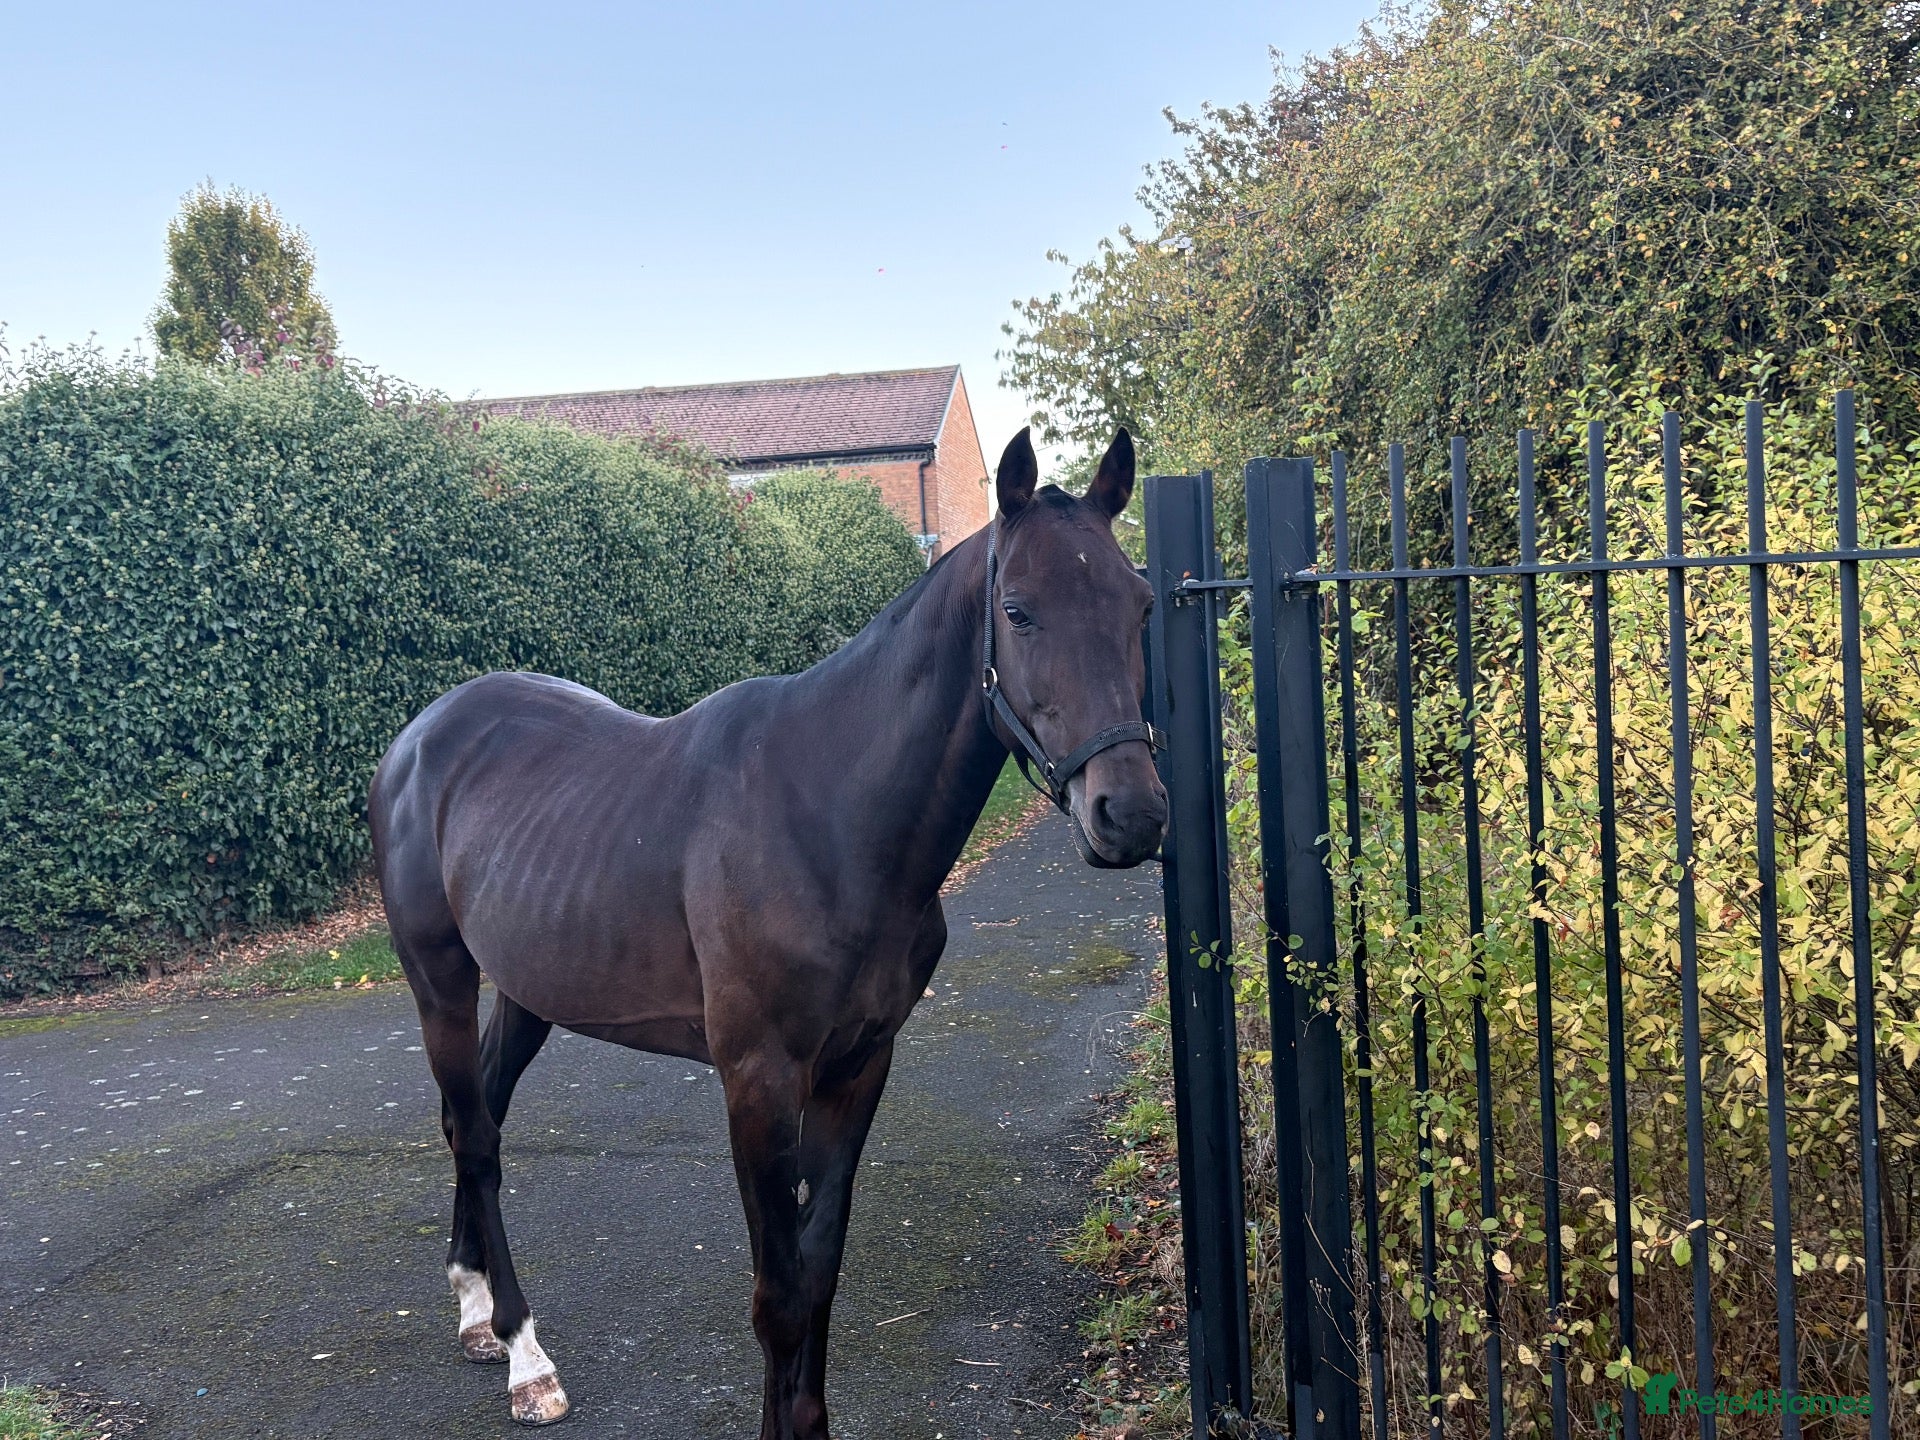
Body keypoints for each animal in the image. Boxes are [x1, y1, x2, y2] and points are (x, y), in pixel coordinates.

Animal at [367, 426, 1167, 1436]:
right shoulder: (758, 1079)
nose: (1130, 815)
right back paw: (522, 1352)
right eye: (1018, 612)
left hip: (526, 988)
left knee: (481, 1119)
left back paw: (476, 1308)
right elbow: (778, 1295)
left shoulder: (858, 1067)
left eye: (1141, 604)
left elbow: (817, 1275)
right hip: (438, 977)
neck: (828, 812)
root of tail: (422, 735)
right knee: (472, 1131)